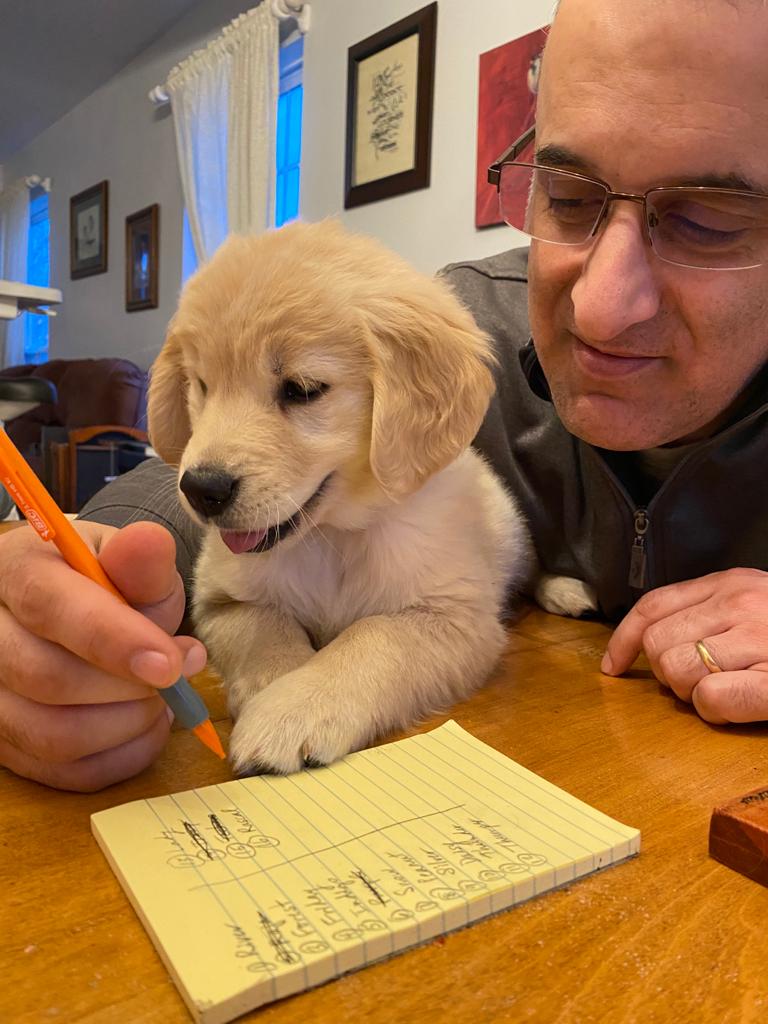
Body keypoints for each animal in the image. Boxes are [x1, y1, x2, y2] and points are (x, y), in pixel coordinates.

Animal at [150, 220, 536, 770]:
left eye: (302, 389)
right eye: (202, 385)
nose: (202, 489)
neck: (331, 537)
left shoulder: (456, 617)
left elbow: (375, 637)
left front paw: (295, 708)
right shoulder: (220, 600)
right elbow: (264, 628)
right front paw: (273, 688)